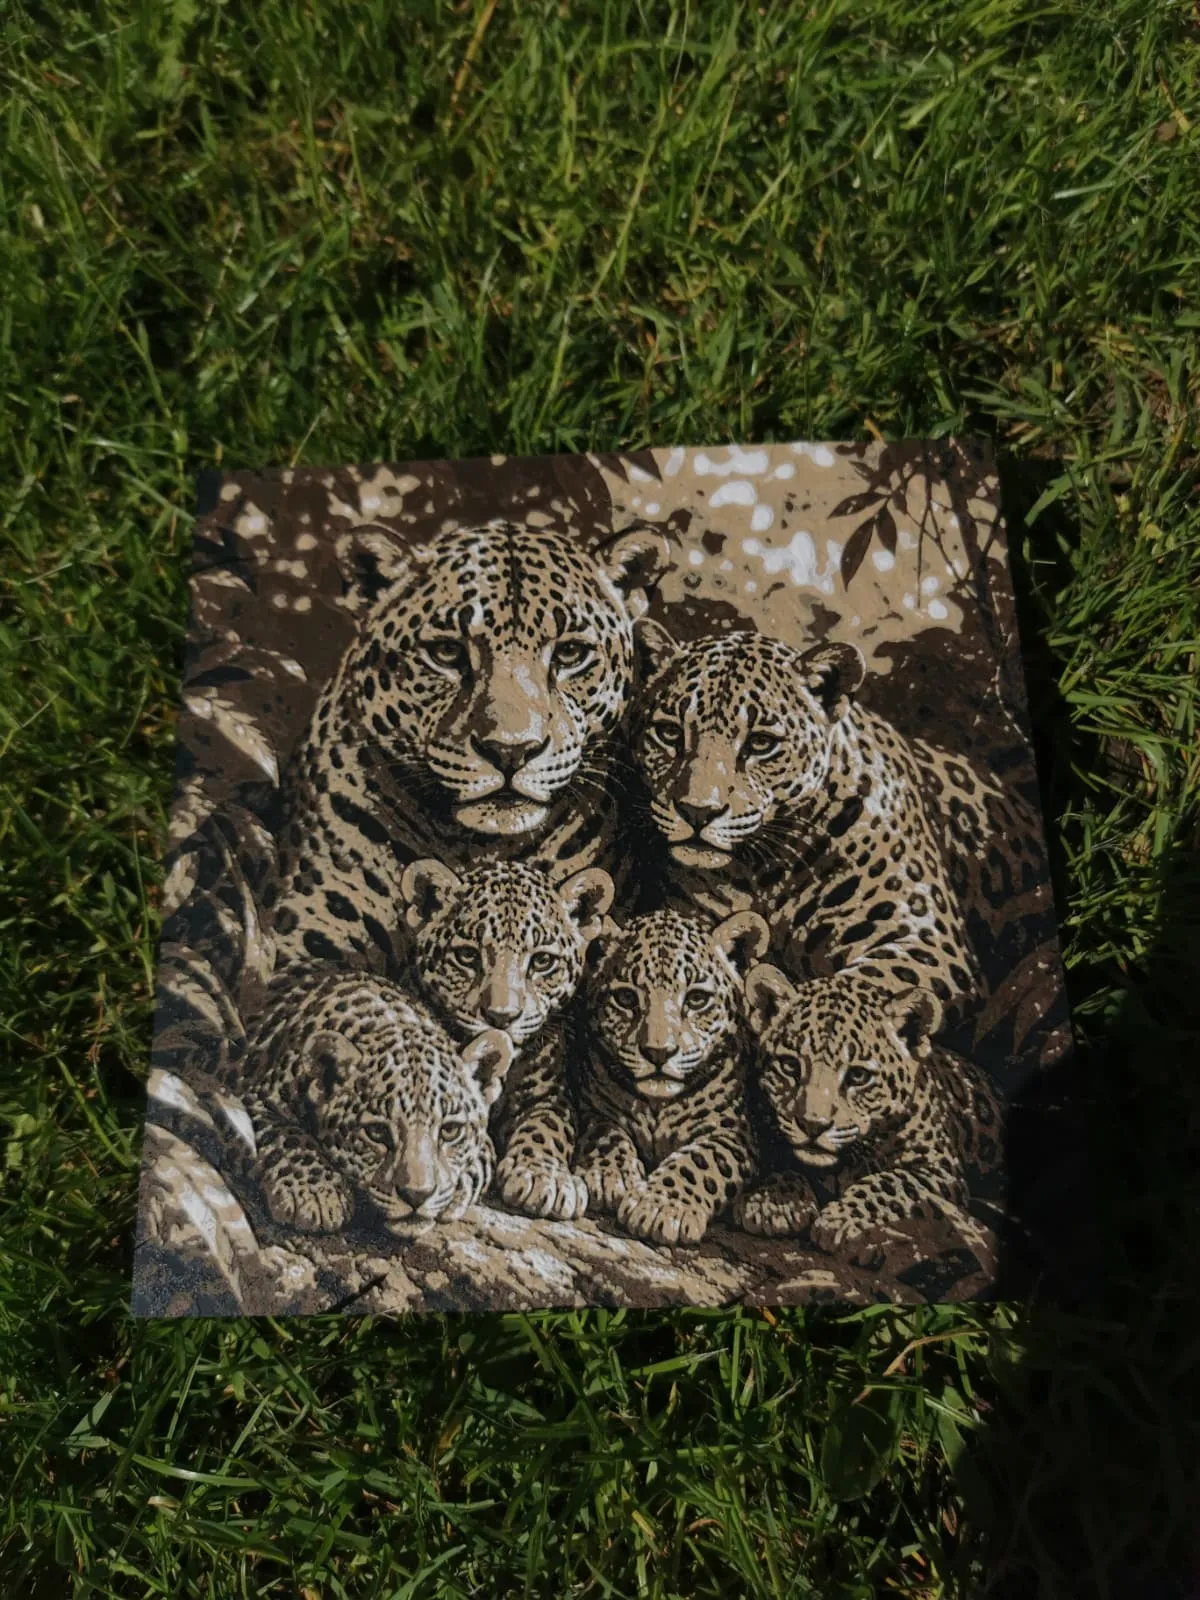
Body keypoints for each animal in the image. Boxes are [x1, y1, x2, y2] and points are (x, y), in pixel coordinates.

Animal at [239, 966, 514, 1234]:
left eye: (450, 1130)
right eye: (377, 1133)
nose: (417, 1195)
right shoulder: (251, 1097)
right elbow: (284, 1135)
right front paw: (316, 1192)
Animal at [400, 856, 614, 1221]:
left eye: (542, 961)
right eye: (468, 956)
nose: (502, 1016)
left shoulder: (548, 1096)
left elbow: (549, 1127)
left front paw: (546, 1177)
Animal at [574, 907, 770, 1245]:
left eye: (696, 999)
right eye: (626, 998)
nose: (658, 1053)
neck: (657, 1107)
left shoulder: (734, 1132)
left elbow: (700, 1161)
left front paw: (660, 1205)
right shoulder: (589, 1104)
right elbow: (604, 1131)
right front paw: (610, 1174)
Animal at [630, 623, 984, 1011]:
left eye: (760, 743)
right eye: (669, 733)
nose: (697, 811)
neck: (765, 871)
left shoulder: (927, 944)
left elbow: (858, 987)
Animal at [735, 964, 1002, 1253]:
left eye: (858, 1076)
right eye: (790, 1065)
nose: (813, 1125)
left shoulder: (938, 1167)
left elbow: (891, 1182)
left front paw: (840, 1220)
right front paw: (773, 1202)